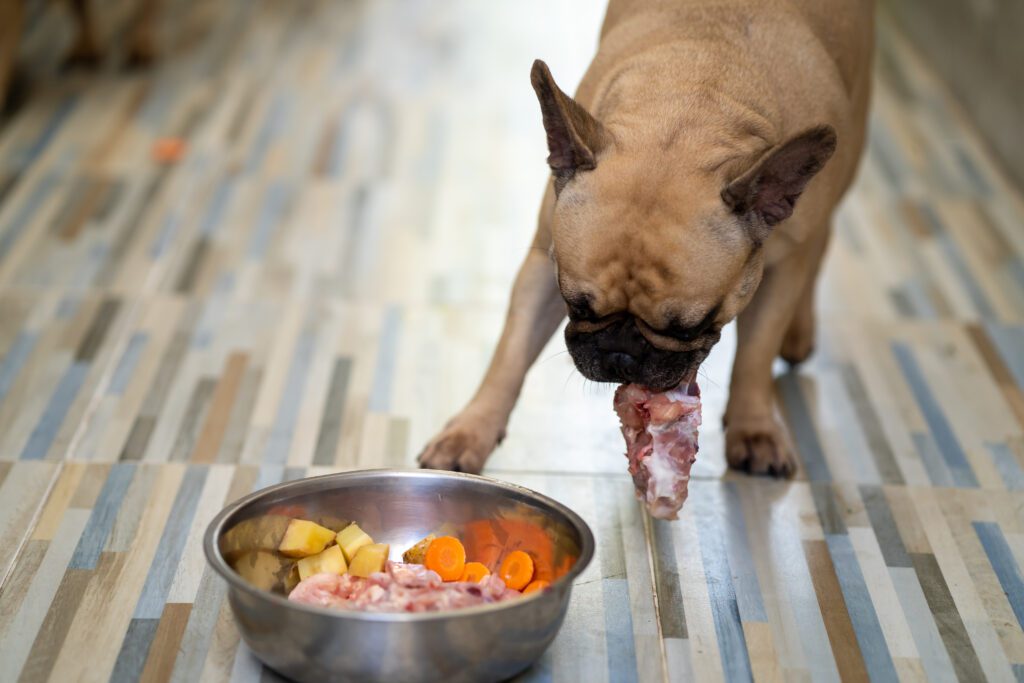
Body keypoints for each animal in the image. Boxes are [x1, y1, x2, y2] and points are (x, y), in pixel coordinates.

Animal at [417, 0, 872, 479]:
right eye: (576, 305)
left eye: (690, 327)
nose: (621, 351)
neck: (696, 105)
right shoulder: (542, 263)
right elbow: (510, 351)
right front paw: (471, 430)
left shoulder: (780, 272)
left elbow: (756, 353)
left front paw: (754, 428)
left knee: (822, 240)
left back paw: (799, 331)